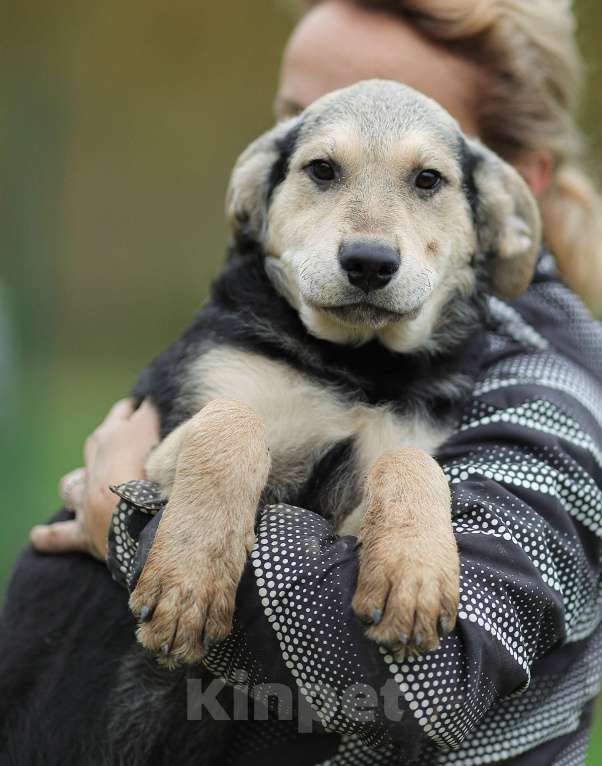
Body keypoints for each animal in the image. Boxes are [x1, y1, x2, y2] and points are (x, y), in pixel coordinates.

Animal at [126, 76, 540, 664]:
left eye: (428, 179)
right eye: (321, 169)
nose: (369, 262)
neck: (357, 364)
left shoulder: (363, 498)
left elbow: (413, 461)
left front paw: (412, 573)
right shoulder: (163, 446)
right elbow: (230, 421)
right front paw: (189, 581)